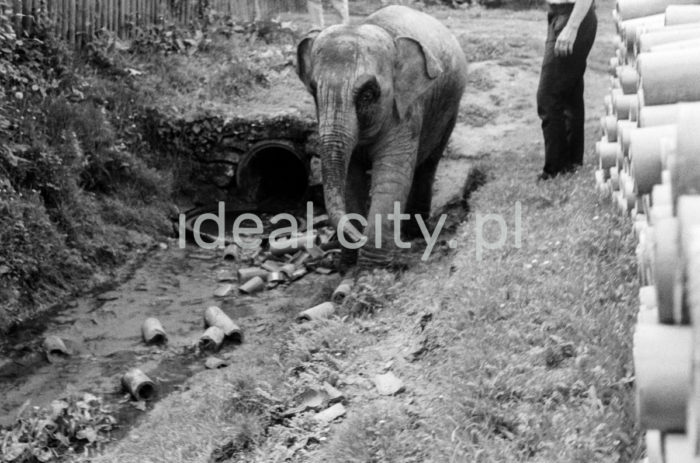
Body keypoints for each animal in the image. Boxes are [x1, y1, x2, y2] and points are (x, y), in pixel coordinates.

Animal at [296, 4, 464, 268]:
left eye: (368, 94)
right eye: (313, 91)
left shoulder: (406, 110)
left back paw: (415, 234)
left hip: (451, 108)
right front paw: (347, 264)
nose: (359, 237)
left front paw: (371, 269)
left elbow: (391, 178)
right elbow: (351, 178)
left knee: (428, 165)